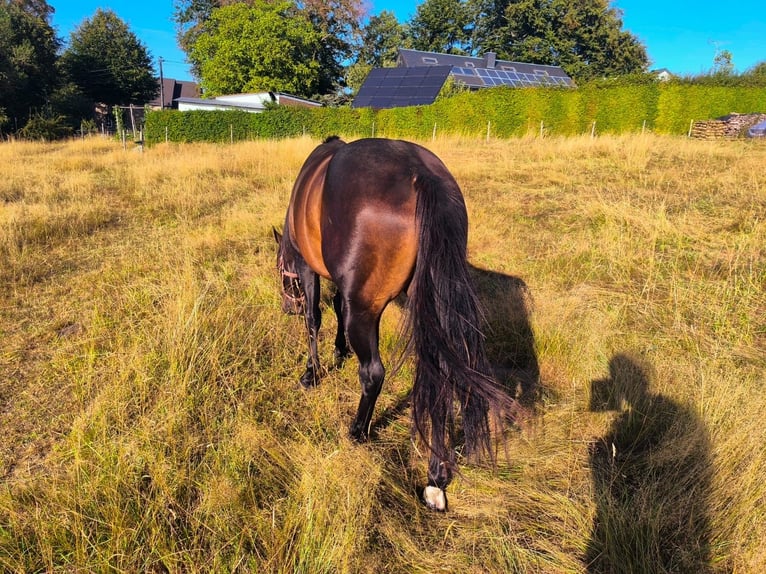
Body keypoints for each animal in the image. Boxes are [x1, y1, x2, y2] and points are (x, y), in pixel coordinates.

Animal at [274, 136, 513, 511]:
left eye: (282, 275)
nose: (287, 309)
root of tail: (420, 175)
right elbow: (337, 307)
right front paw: (339, 351)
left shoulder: (307, 267)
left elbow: (315, 319)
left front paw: (311, 373)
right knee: (438, 377)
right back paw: (435, 480)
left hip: (366, 310)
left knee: (373, 373)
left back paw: (358, 432)